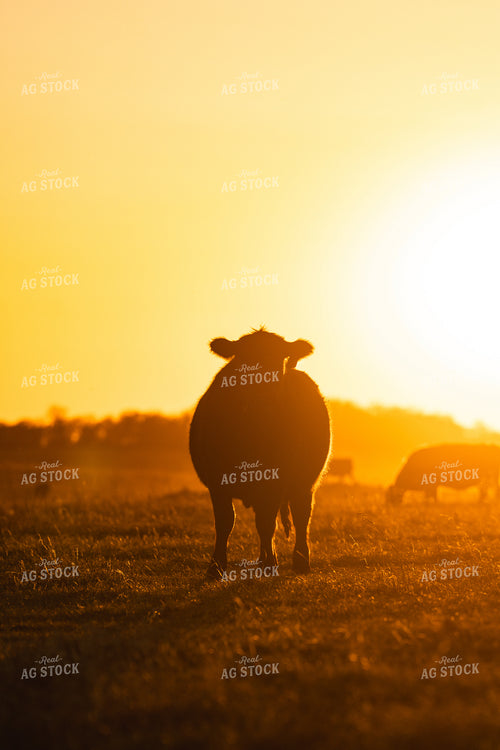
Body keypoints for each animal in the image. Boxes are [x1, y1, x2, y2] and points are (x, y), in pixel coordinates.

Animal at [189, 327, 332, 579]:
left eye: (281, 358)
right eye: (243, 360)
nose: (265, 391)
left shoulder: (275, 481)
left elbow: (267, 524)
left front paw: (271, 564)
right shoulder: (217, 482)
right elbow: (225, 522)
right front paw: (215, 566)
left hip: (305, 483)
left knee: (301, 516)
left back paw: (300, 561)